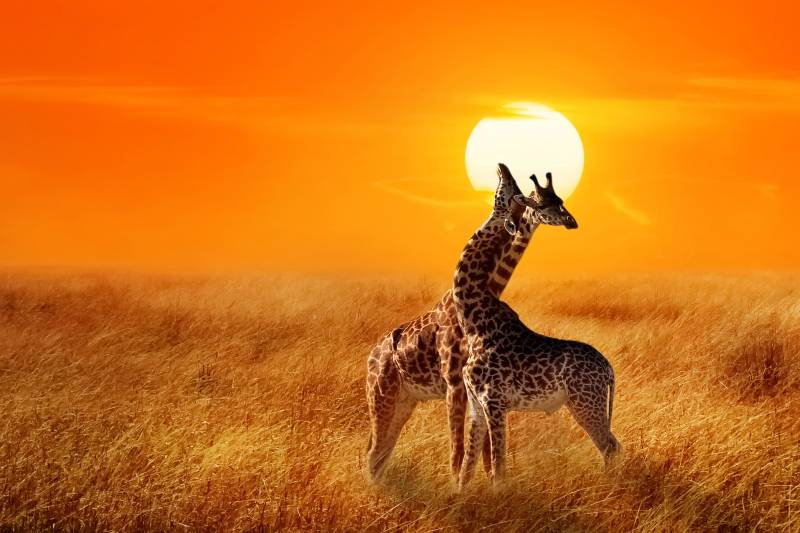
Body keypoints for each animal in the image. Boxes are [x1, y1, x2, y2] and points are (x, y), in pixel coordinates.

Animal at [365, 164, 558, 482]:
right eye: (530, 197)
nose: (503, 167)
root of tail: (371, 355)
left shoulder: (472, 386)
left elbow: (483, 451)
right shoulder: (454, 383)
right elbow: (459, 450)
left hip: (405, 400)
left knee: (381, 450)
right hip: (381, 395)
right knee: (374, 450)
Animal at [452, 165, 619, 491]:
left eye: (511, 193)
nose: (502, 168)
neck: (473, 320)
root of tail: (608, 369)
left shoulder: (495, 402)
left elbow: (498, 466)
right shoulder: (477, 404)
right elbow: (468, 468)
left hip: (586, 403)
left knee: (609, 446)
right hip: (583, 403)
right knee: (612, 444)